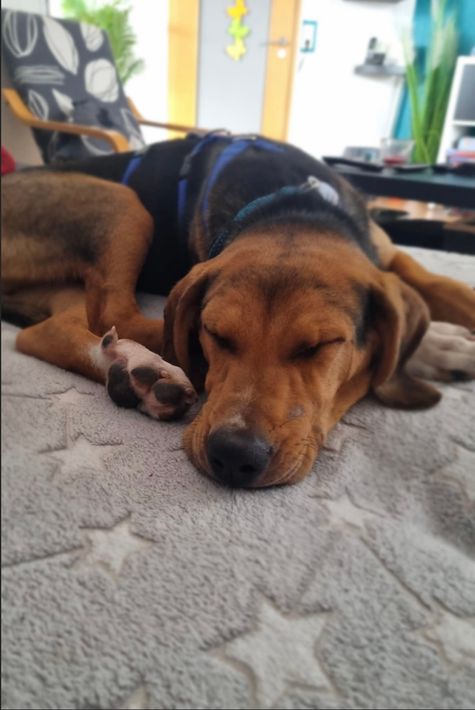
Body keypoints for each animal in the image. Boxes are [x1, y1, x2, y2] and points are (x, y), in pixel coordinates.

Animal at [2, 133, 475, 488]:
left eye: (321, 345)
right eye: (215, 334)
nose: (233, 456)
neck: (292, 207)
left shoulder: (392, 257)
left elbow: (443, 285)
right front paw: (438, 345)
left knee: (44, 332)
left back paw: (128, 369)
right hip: (122, 202)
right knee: (114, 313)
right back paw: (145, 370)